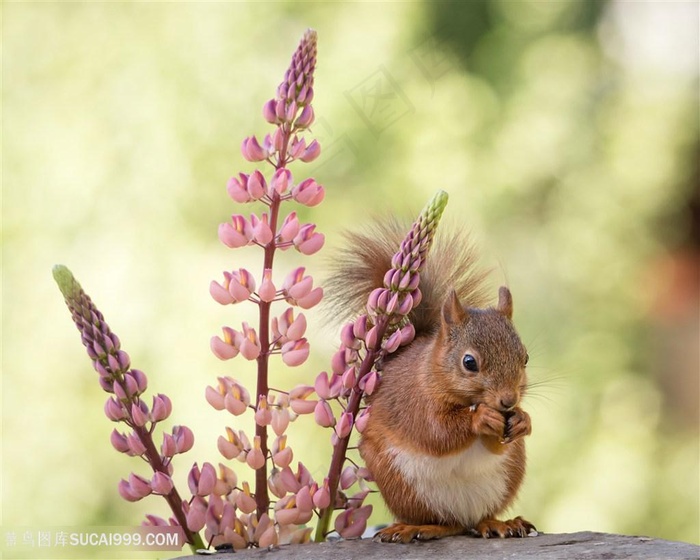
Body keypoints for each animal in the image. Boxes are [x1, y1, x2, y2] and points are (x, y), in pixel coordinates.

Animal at [328, 222, 536, 544]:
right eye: (469, 362)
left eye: (525, 358)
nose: (508, 401)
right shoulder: (416, 402)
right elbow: (437, 432)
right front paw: (480, 418)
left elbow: (497, 445)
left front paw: (523, 420)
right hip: (403, 486)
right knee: (445, 523)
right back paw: (417, 528)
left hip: (507, 476)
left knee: (474, 520)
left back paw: (499, 523)